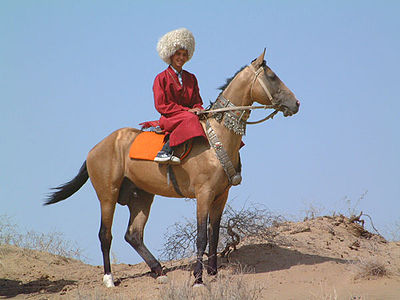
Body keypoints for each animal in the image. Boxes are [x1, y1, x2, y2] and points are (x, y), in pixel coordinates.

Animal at [44, 50, 300, 288]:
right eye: (272, 76)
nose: (296, 103)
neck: (218, 137)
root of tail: (95, 148)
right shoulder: (203, 194)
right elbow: (201, 237)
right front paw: (198, 279)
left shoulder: (221, 196)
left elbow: (215, 235)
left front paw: (213, 273)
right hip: (108, 195)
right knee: (105, 234)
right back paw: (109, 278)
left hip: (141, 197)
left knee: (133, 235)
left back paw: (159, 271)